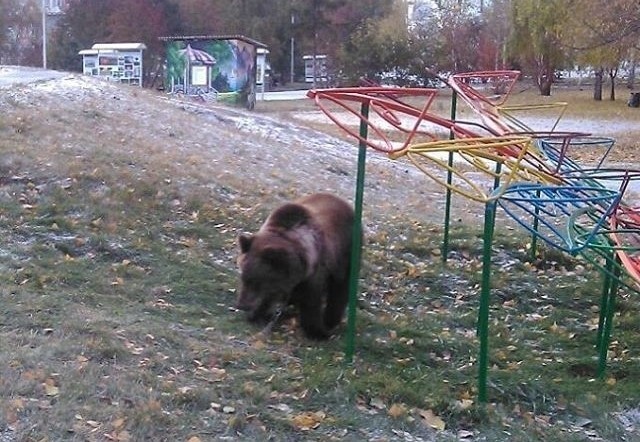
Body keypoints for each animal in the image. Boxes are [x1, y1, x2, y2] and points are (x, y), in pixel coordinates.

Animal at [235, 192, 356, 340]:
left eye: (256, 281)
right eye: (243, 277)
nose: (241, 305)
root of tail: (343, 203)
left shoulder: (315, 274)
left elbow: (311, 303)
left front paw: (319, 332)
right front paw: (257, 314)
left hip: (345, 254)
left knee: (340, 289)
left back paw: (330, 320)